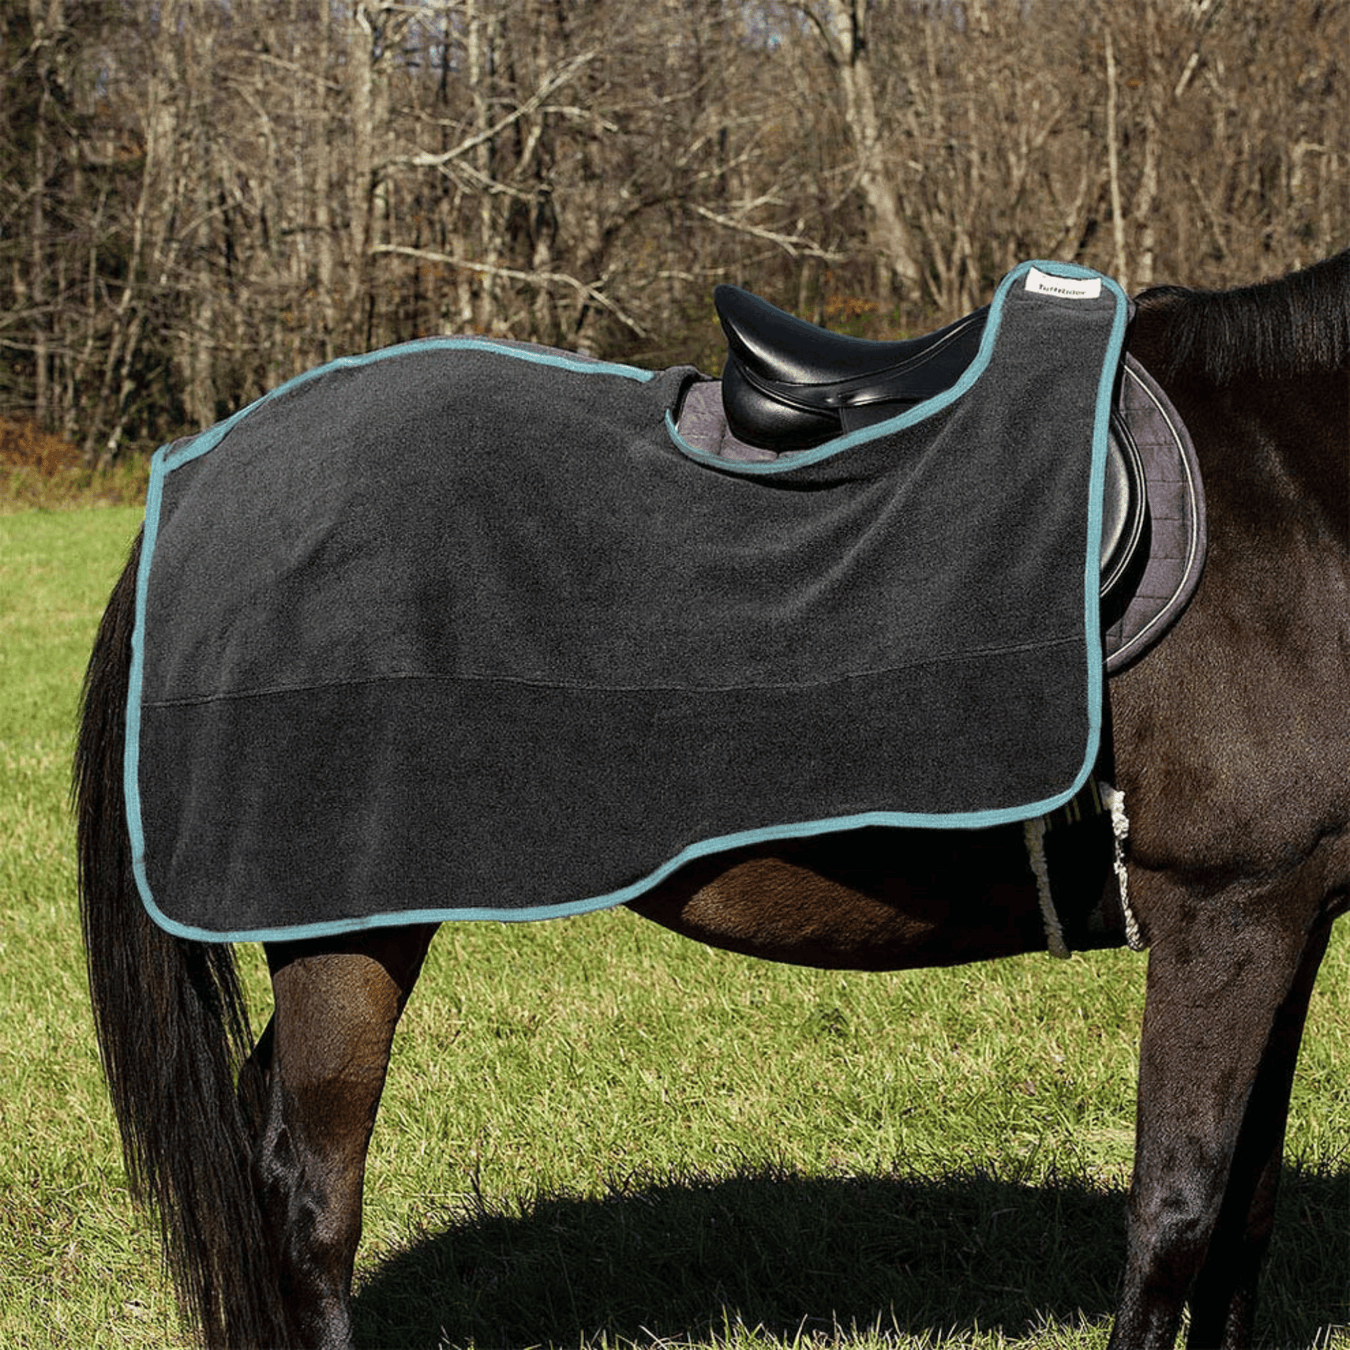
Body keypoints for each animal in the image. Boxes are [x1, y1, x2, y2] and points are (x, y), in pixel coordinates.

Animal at [75, 250, 1349, 1350]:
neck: (1291, 487)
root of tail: (207, 469)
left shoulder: (1286, 925)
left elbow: (1245, 1217)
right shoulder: (1221, 918)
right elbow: (1175, 1221)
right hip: (349, 925)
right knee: (312, 1199)